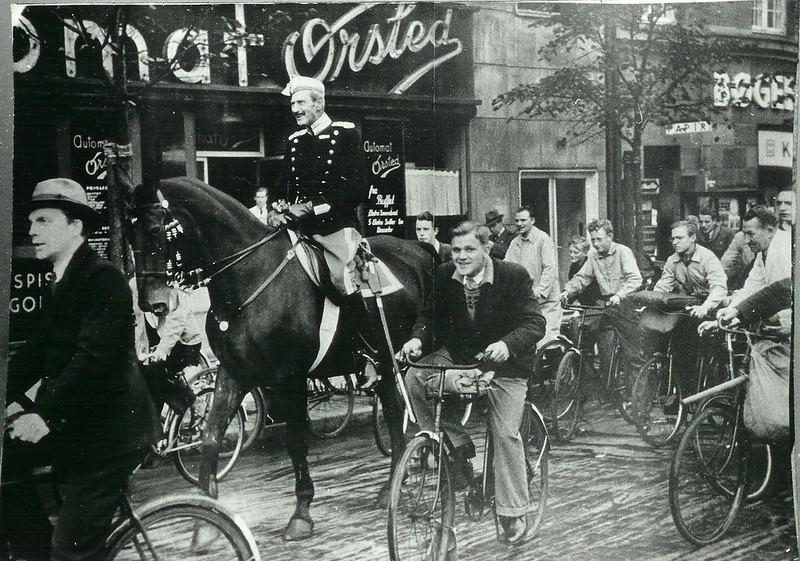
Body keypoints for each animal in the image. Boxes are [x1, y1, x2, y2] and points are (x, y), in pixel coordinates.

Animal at [128, 175, 434, 540]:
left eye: (155, 230)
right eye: (129, 234)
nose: (151, 304)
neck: (249, 275)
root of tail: (419, 249)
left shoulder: (290, 376)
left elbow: (295, 440)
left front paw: (301, 513)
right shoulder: (234, 372)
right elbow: (211, 436)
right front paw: (205, 522)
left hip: (405, 356)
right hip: (387, 364)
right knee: (393, 411)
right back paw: (392, 487)